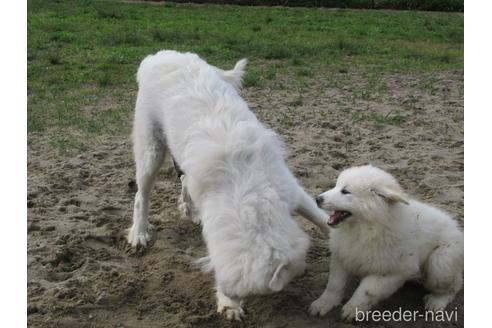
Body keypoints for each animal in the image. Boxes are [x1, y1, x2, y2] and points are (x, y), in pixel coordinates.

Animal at [127, 51, 328, 320]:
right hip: (151, 150)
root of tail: (157, 56)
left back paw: (188, 210)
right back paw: (139, 234)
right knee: (142, 196)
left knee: (182, 180)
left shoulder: (294, 192)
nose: (305, 271)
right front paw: (228, 304)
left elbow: (321, 218)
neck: (248, 194)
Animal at [310, 165, 464, 322]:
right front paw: (323, 303)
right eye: (336, 185)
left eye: (345, 191)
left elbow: (366, 290)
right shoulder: (341, 256)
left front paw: (353, 309)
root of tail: (455, 228)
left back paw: (436, 302)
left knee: (455, 285)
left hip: (441, 262)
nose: (317, 199)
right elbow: (334, 284)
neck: (364, 228)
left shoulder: (392, 272)